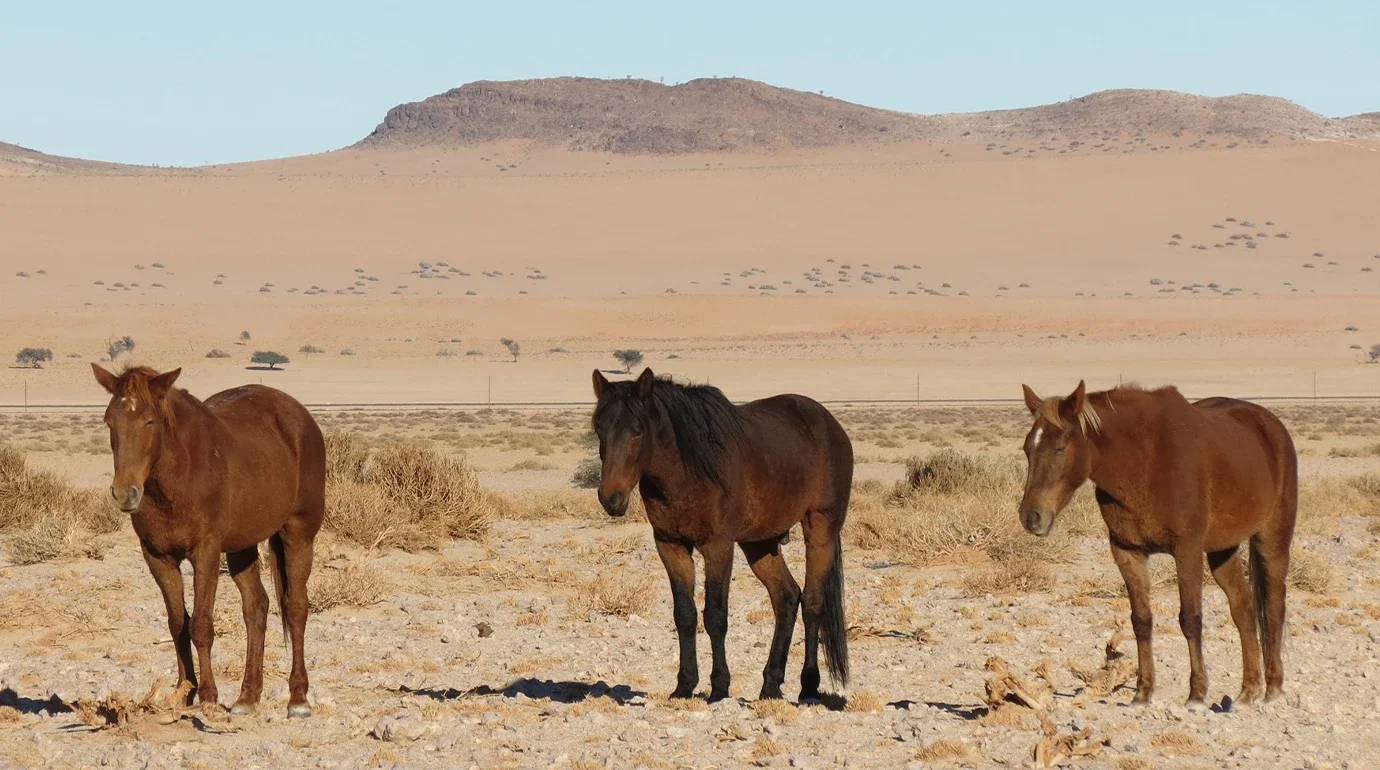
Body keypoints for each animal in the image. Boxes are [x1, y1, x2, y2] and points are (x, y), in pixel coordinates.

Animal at [92, 364, 326, 717]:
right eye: (109, 421)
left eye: (149, 421)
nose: (124, 493)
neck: (178, 477)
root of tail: (301, 417)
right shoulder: (158, 557)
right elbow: (178, 623)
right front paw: (183, 693)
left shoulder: (206, 553)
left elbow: (201, 625)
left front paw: (209, 697)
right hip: (242, 547)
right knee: (256, 608)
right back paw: (247, 697)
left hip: (298, 535)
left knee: (295, 607)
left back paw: (297, 699)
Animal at [591, 368, 853, 702]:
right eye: (599, 430)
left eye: (637, 431)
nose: (610, 498)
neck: (687, 469)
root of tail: (830, 425)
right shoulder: (671, 546)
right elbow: (685, 615)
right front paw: (684, 685)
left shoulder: (717, 546)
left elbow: (715, 616)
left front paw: (719, 687)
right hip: (759, 544)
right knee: (786, 597)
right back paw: (770, 684)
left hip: (821, 530)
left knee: (812, 604)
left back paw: (808, 686)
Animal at [1017, 380, 1297, 709]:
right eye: (1027, 448)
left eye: (1060, 448)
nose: (1031, 517)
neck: (1144, 461)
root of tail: (1272, 425)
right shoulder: (1127, 551)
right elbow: (1141, 620)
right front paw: (1143, 691)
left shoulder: (1187, 550)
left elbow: (1190, 618)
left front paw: (1197, 693)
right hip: (1222, 550)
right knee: (1243, 607)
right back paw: (1249, 689)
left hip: (1273, 538)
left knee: (1274, 606)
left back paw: (1273, 688)